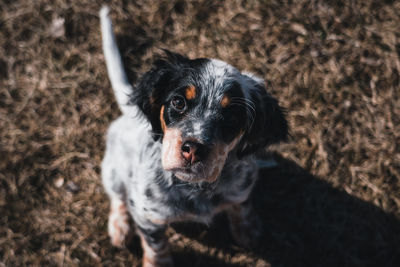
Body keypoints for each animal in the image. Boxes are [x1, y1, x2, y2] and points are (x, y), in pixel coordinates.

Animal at [100, 6, 288, 267]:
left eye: (231, 117)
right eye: (178, 102)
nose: (193, 149)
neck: (195, 188)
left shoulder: (242, 184)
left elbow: (241, 205)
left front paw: (248, 230)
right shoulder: (147, 215)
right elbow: (156, 245)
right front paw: (158, 261)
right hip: (113, 170)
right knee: (117, 196)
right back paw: (119, 227)